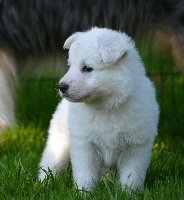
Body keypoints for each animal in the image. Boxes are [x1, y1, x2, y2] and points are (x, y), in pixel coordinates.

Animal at [38, 27, 159, 191]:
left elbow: (132, 175)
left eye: (87, 68)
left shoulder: (136, 146)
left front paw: (129, 192)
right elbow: (85, 174)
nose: (61, 86)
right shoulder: (84, 145)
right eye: (70, 66)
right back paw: (43, 184)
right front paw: (83, 192)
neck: (107, 105)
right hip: (59, 141)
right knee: (51, 163)